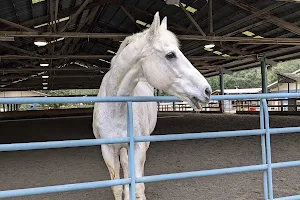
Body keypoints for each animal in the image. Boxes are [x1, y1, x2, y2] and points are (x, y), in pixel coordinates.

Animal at [92, 12, 212, 200]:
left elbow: (137, 186)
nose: (206, 90)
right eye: (170, 55)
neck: (116, 109)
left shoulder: (139, 147)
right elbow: (117, 187)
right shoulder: (107, 150)